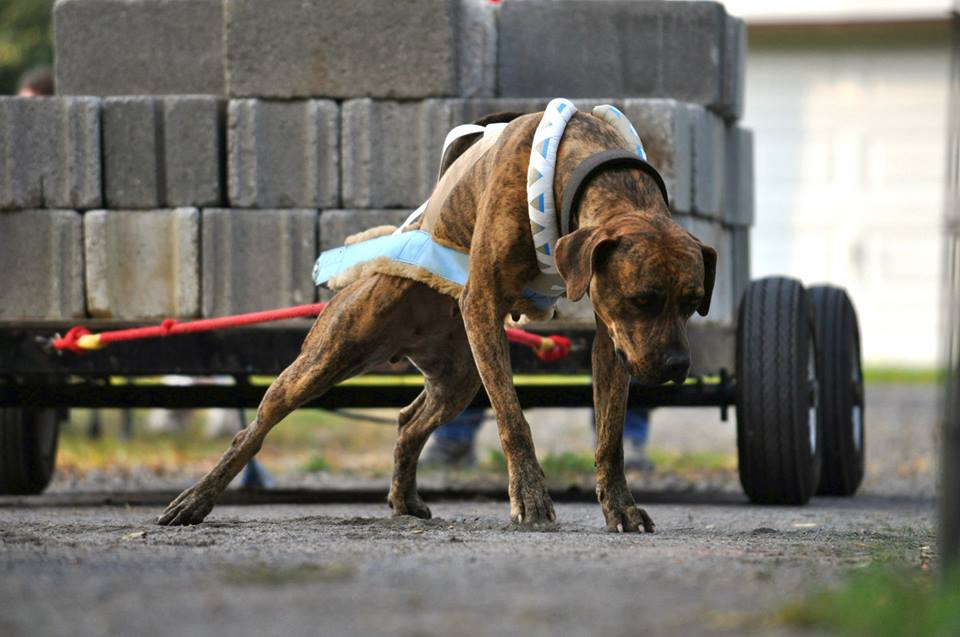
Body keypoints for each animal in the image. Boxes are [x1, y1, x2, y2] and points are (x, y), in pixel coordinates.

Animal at [156, 110, 712, 532]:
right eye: (642, 299)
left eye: (692, 301)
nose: (676, 366)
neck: (583, 166)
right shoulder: (485, 302)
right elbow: (513, 419)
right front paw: (530, 497)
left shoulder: (610, 339)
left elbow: (610, 436)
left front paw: (620, 506)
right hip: (329, 355)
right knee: (254, 429)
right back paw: (194, 500)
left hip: (458, 378)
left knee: (408, 422)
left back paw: (404, 498)